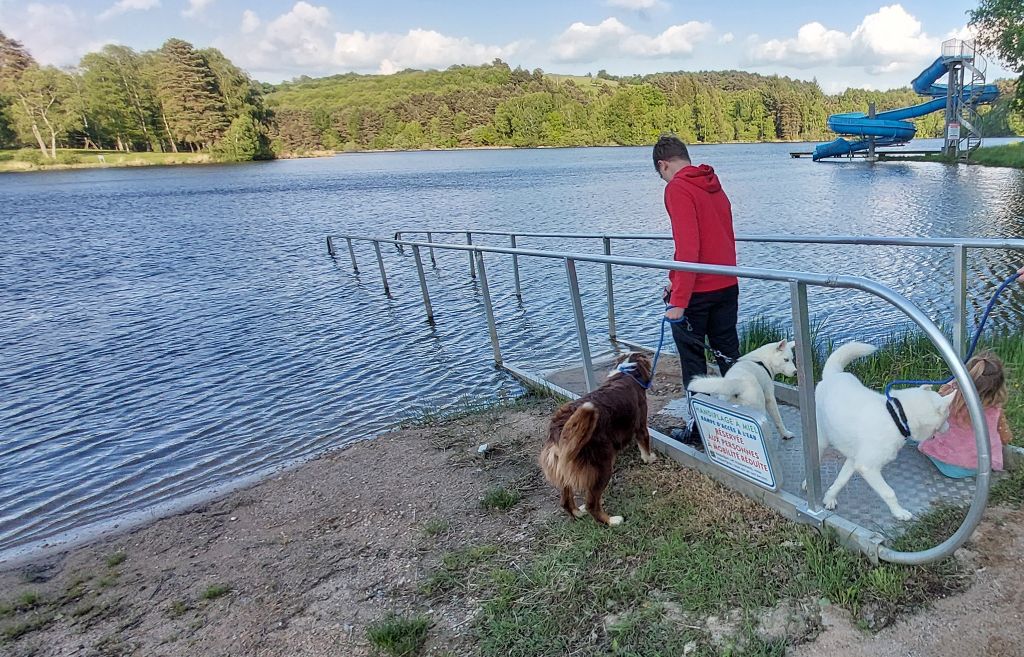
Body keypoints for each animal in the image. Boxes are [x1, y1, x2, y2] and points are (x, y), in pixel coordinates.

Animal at [536, 349, 655, 523]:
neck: (626, 373)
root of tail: (559, 430)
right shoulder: (640, 425)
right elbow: (645, 443)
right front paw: (650, 458)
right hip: (602, 466)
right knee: (592, 504)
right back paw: (612, 521)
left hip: (564, 467)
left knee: (565, 501)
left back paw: (578, 513)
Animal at [811, 339, 954, 519]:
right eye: (947, 416)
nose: (949, 428)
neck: (897, 416)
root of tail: (832, 375)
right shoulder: (868, 467)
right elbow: (889, 492)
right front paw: (899, 513)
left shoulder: (855, 460)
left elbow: (840, 481)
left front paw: (829, 498)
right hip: (821, 440)